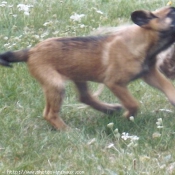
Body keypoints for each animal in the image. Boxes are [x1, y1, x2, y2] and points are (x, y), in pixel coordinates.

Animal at [0, 6, 175, 130]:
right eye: (172, 13)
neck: (145, 42)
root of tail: (31, 51)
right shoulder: (115, 83)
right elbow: (133, 104)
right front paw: (127, 118)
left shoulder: (150, 74)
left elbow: (169, 88)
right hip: (55, 84)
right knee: (49, 114)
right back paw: (67, 131)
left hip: (76, 76)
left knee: (84, 97)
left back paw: (109, 109)